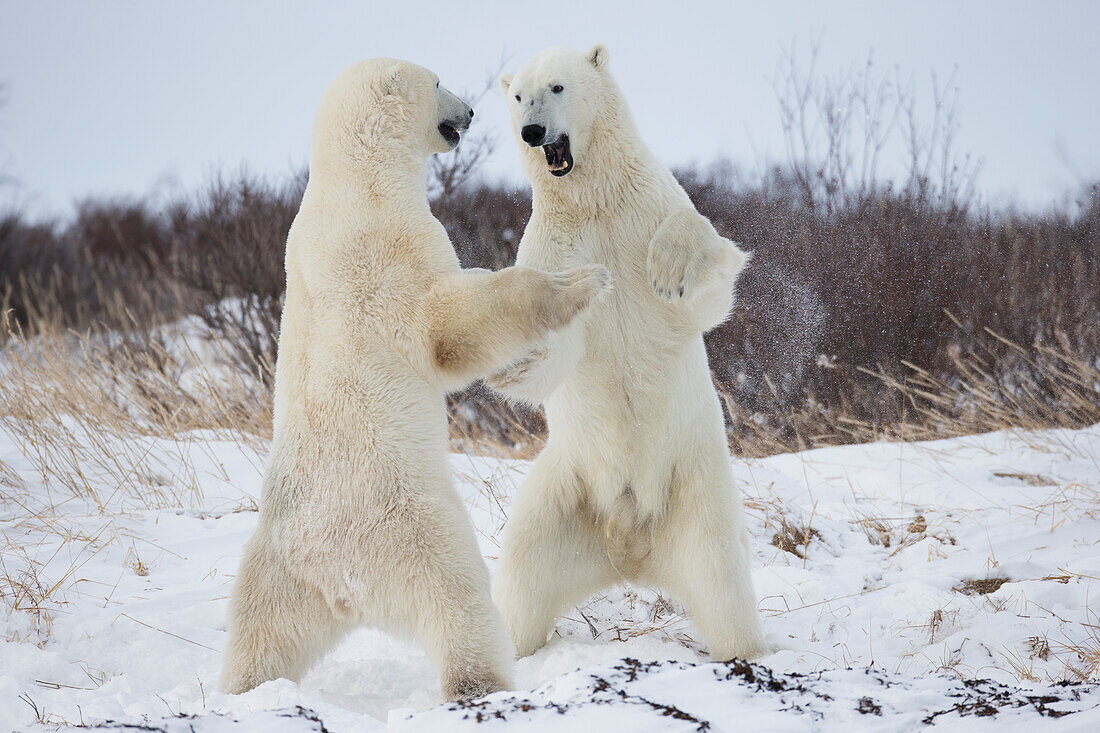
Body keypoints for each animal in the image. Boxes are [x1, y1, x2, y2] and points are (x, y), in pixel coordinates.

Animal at [216, 55, 611, 695]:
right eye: (438, 82)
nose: (470, 111)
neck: (355, 183)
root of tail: (343, 585)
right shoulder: (390, 248)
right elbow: (448, 324)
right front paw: (578, 282)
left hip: (277, 568)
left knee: (260, 636)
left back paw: (244, 690)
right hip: (414, 531)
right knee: (460, 602)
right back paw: (482, 682)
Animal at [490, 47, 765, 660]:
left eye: (557, 86)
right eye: (518, 95)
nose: (532, 132)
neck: (595, 202)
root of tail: (629, 546)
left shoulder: (646, 207)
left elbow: (706, 289)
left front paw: (669, 268)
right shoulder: (552, 243)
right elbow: (551, 356)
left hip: (695, 485)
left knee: (722, 581)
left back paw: (745, 650)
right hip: (565, 489)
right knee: (522, 572)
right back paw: (508, 653)